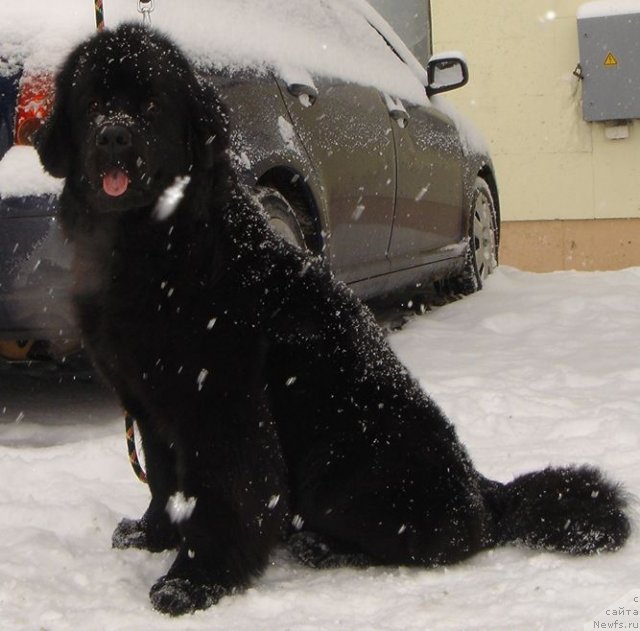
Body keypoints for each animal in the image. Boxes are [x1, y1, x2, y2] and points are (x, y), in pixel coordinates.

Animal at [37, 25, 632, 616]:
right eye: (93, 104)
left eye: (152, 105)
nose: (114, 137)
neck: (156, 245)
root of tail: (483, 489)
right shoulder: (149, 402)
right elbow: (163, 481)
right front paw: (153, 534)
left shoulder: (223, 400)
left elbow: (227, 492)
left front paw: (193, 581)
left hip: (343, 461)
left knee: (440, 540)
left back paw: (321, 545)